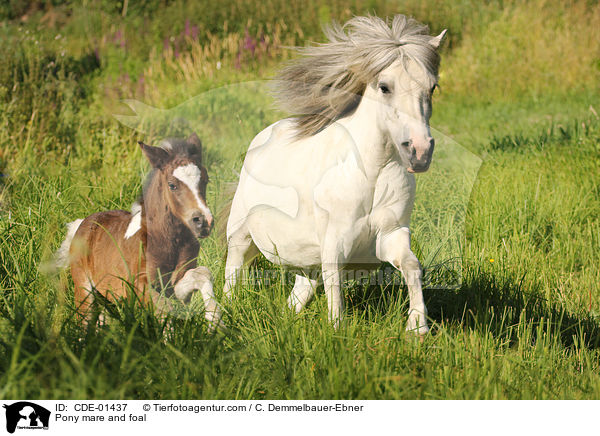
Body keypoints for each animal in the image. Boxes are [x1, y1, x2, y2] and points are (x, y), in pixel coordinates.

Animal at [57, 133, 221, 330]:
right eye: (172, 185)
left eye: (205, 180)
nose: (203, 222)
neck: (168, 241)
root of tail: (82, 223)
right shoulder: (139, 284)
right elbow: (164, 309)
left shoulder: (176, 283)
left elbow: (201, 275)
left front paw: (215, 322)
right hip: (84, 291)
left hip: (107, 299)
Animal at [224, 13, 446, 334]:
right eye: (384, 86)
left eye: (432, 87)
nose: (419, 151)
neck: (371, 175)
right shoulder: (334, 243)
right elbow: (335, 287)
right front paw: (337, 329)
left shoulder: (390, 236)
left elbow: (412, 267)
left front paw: (417, 327)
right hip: (240, 235)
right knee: (232, 273)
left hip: (305, 260)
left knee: (300, 291)